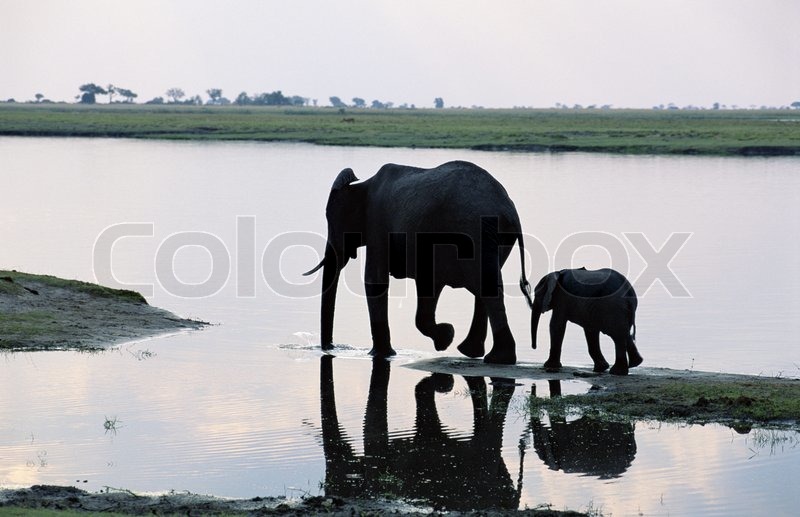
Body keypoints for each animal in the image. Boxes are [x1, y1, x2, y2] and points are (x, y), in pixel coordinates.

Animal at [305, 160, 532, 364]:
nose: (330, 348)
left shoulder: (377, 223)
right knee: (487, 286)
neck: (363, 185)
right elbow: (428, 287)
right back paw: (477, 353)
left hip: (474, 232)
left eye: (331, 220)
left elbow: (375, 280)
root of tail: (509, 209)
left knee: (486, 287)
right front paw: (446, 337)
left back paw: (495, 358)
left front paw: (382, 354)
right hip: (492, 238)